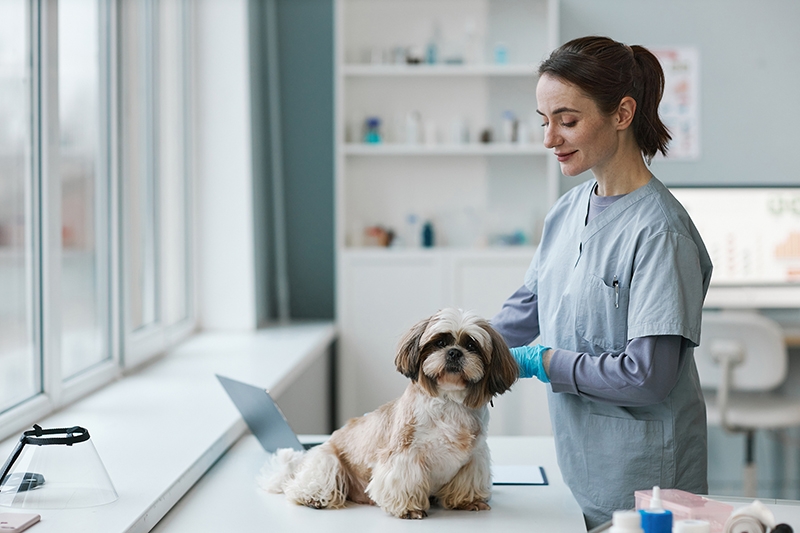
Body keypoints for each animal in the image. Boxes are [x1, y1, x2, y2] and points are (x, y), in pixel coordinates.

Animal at [260, 306, 516, 516]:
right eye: (440, 343)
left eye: (471, 345)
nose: (454, 352)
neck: (450, 402)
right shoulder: (404, 453)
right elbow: (403, 479)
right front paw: (409, 508)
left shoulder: (475, 459)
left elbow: (467, 481)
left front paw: (467, 501)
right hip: (329, 459)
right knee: (308, 482)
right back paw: (313, 497)